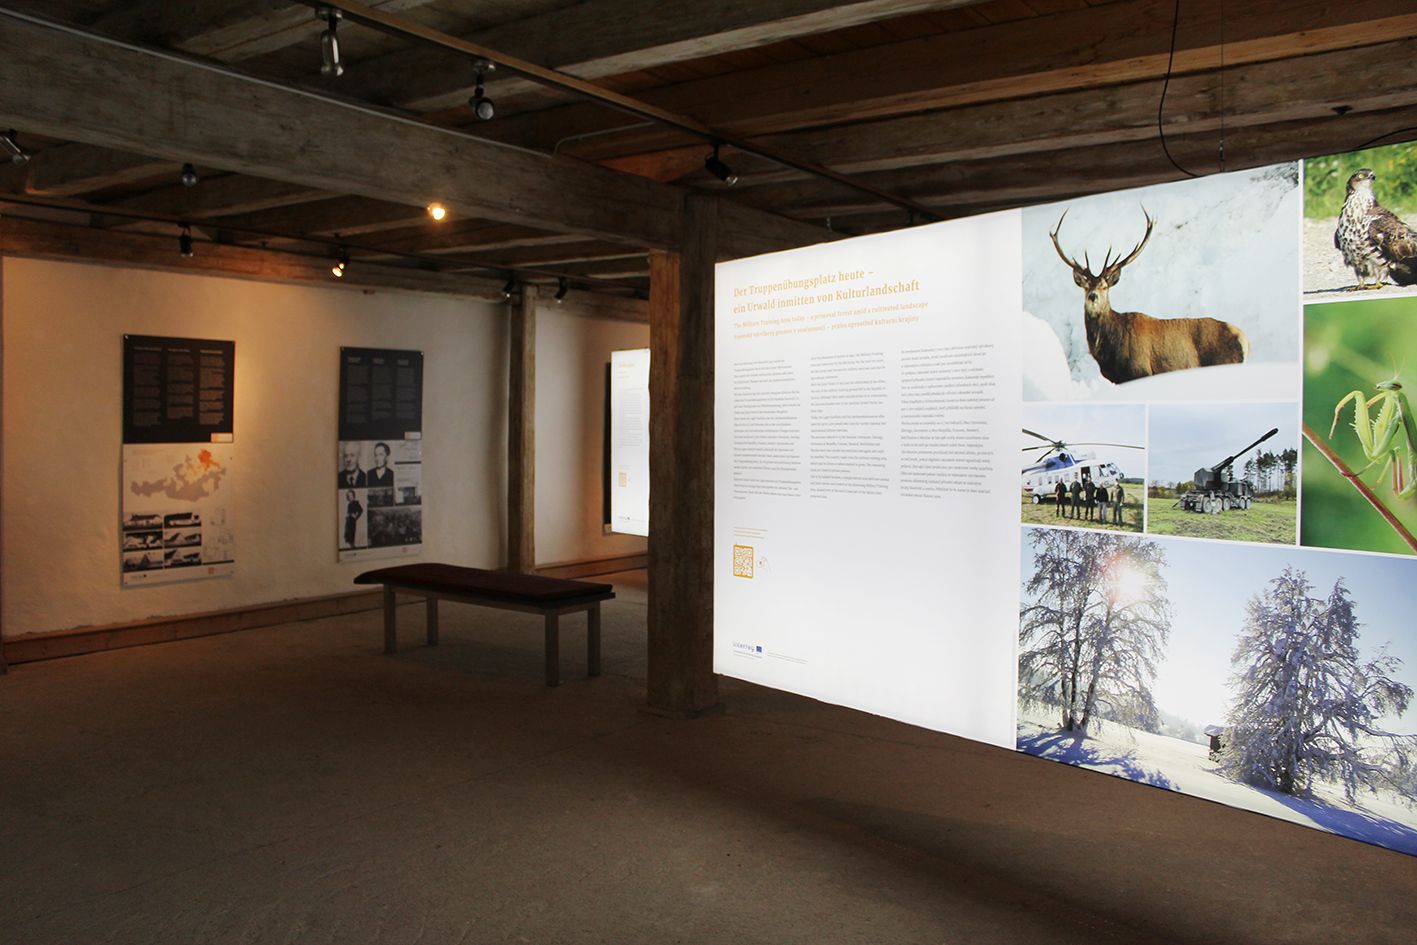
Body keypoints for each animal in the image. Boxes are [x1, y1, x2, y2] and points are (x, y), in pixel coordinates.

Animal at [1049, 207, 1249, 384]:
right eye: (1086, 287)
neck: (1107, 352)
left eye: (1105, 287)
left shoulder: (1141, 370)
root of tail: (1245, 340)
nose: (1093, 296)